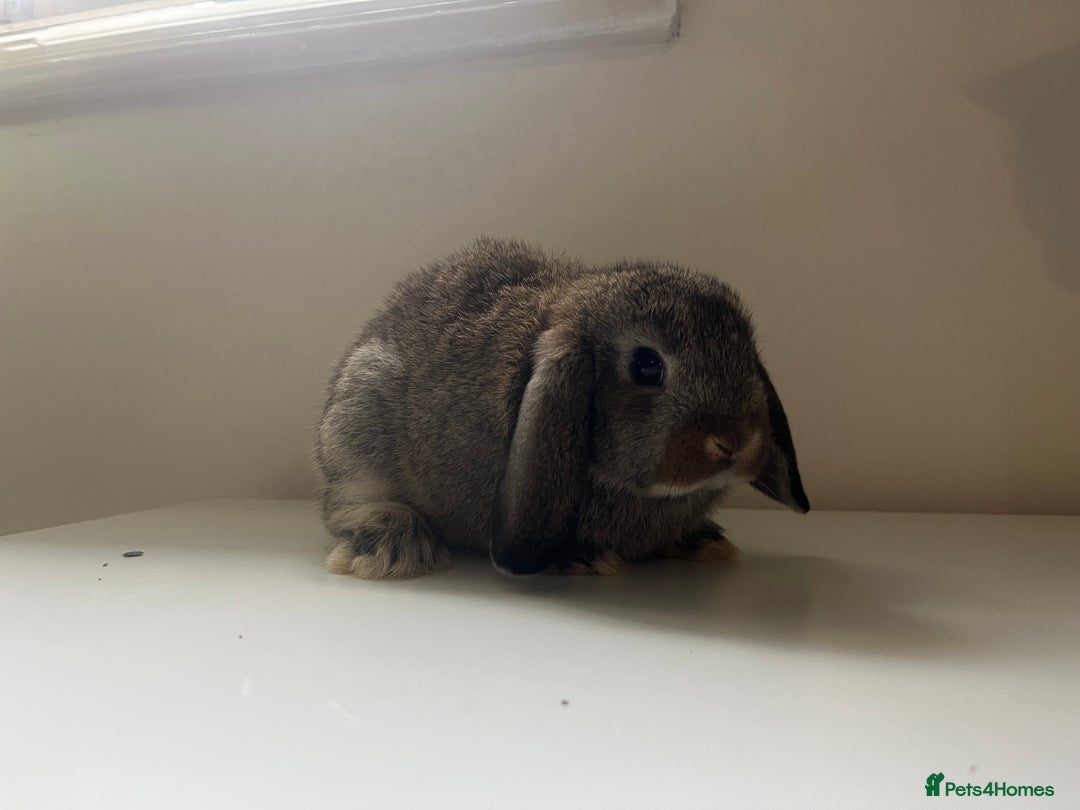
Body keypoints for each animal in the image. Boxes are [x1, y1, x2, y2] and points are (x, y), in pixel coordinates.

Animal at [316, 238, 809, 580]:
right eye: (647, 366)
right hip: (359, 424)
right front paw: (582, 558)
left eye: (747, 356)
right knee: (347, 501)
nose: (736, 442)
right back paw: (393, 550)